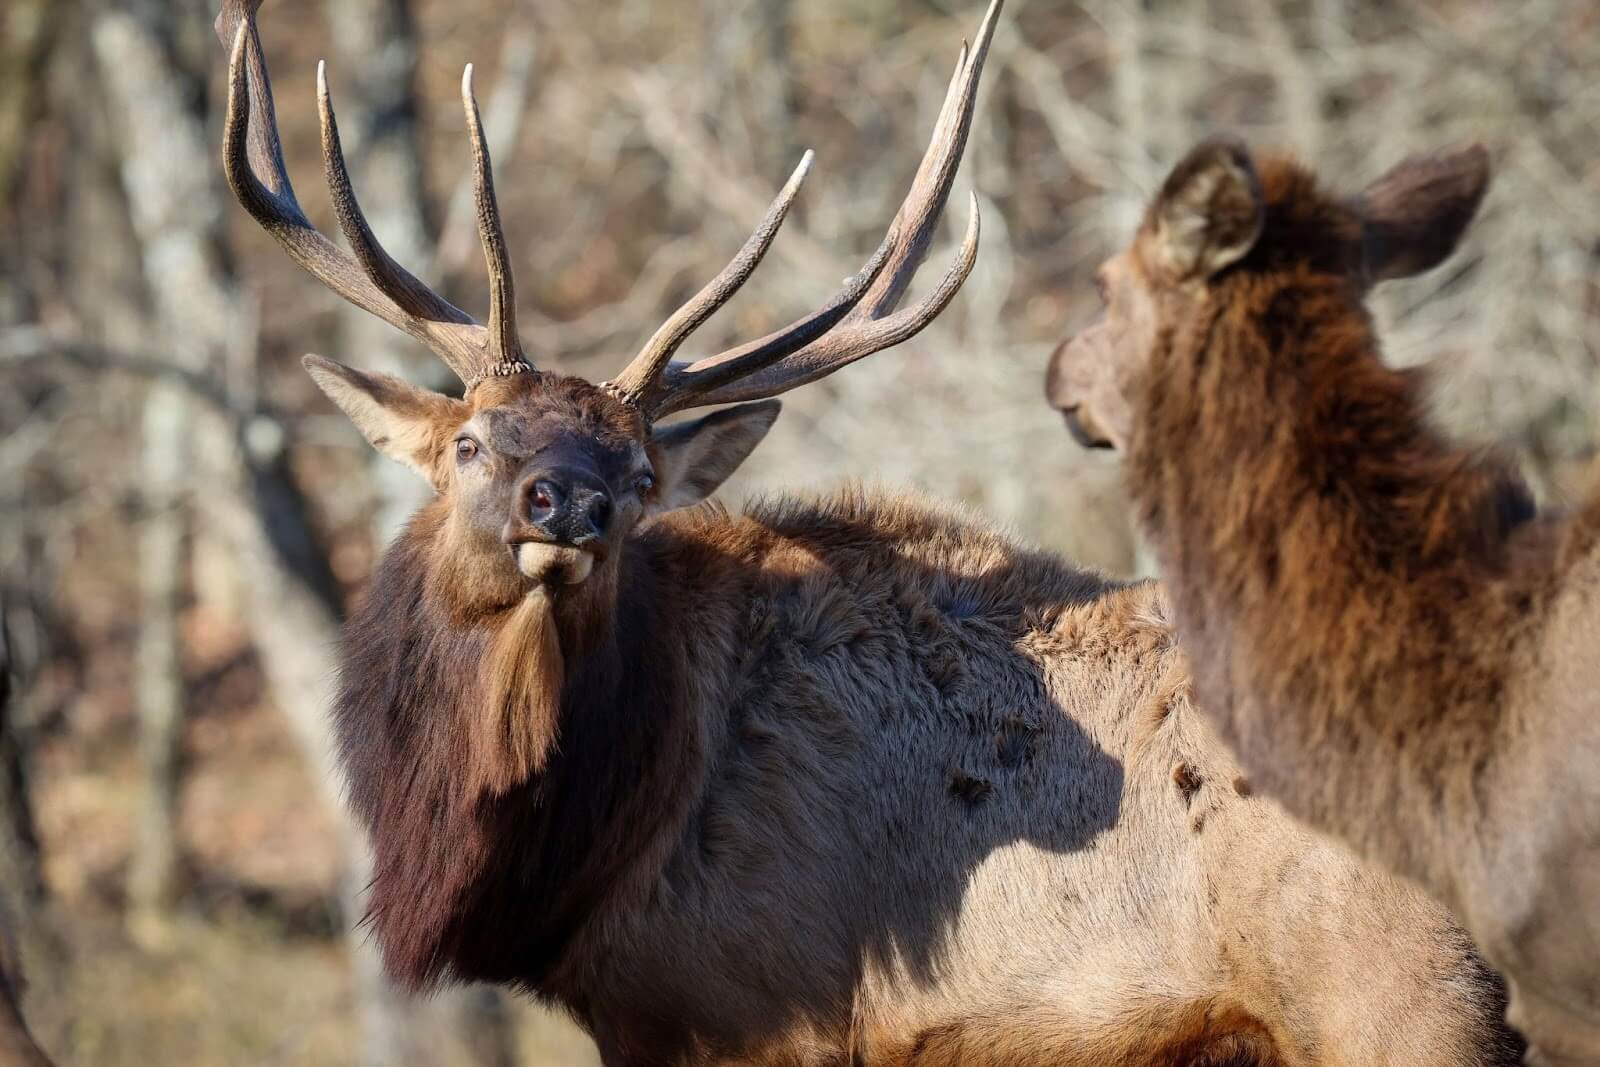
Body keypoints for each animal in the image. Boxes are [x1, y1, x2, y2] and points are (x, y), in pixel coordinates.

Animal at [218, 1, 1528, 1062]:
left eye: (641, 474)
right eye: (471, 442)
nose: (570, 502)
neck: (589, 851)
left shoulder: (749, 1006)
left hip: (1407, 1002)